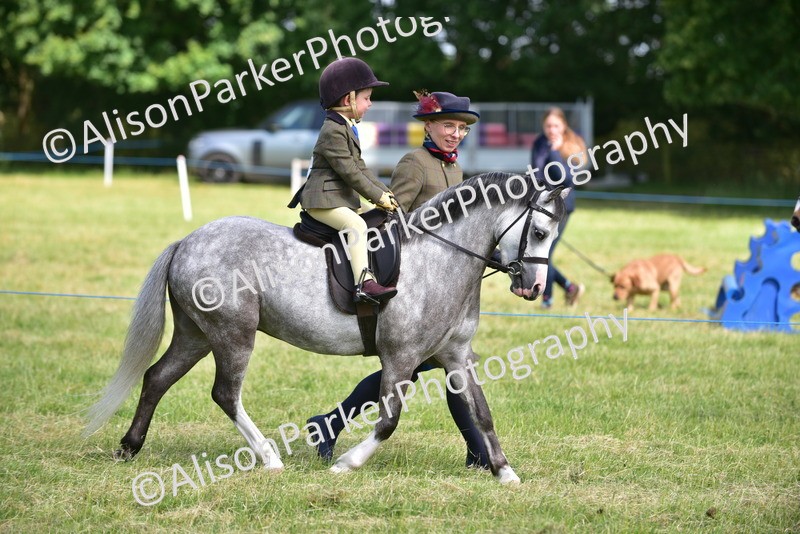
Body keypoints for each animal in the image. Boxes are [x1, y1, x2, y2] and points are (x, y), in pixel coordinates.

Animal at [85, 172, 569, 485]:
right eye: (540, 232)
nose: (533, 287)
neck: (441, 256)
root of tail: (187, 241)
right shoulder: (401, 358)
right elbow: (388, 419)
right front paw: (346, 464)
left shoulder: (456, 356)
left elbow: (481, 412)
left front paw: (505, 472)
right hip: (232, 334)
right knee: (225, 393)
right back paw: (269, 457)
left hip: (196, 334)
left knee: (157, 377)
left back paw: (129, 447)